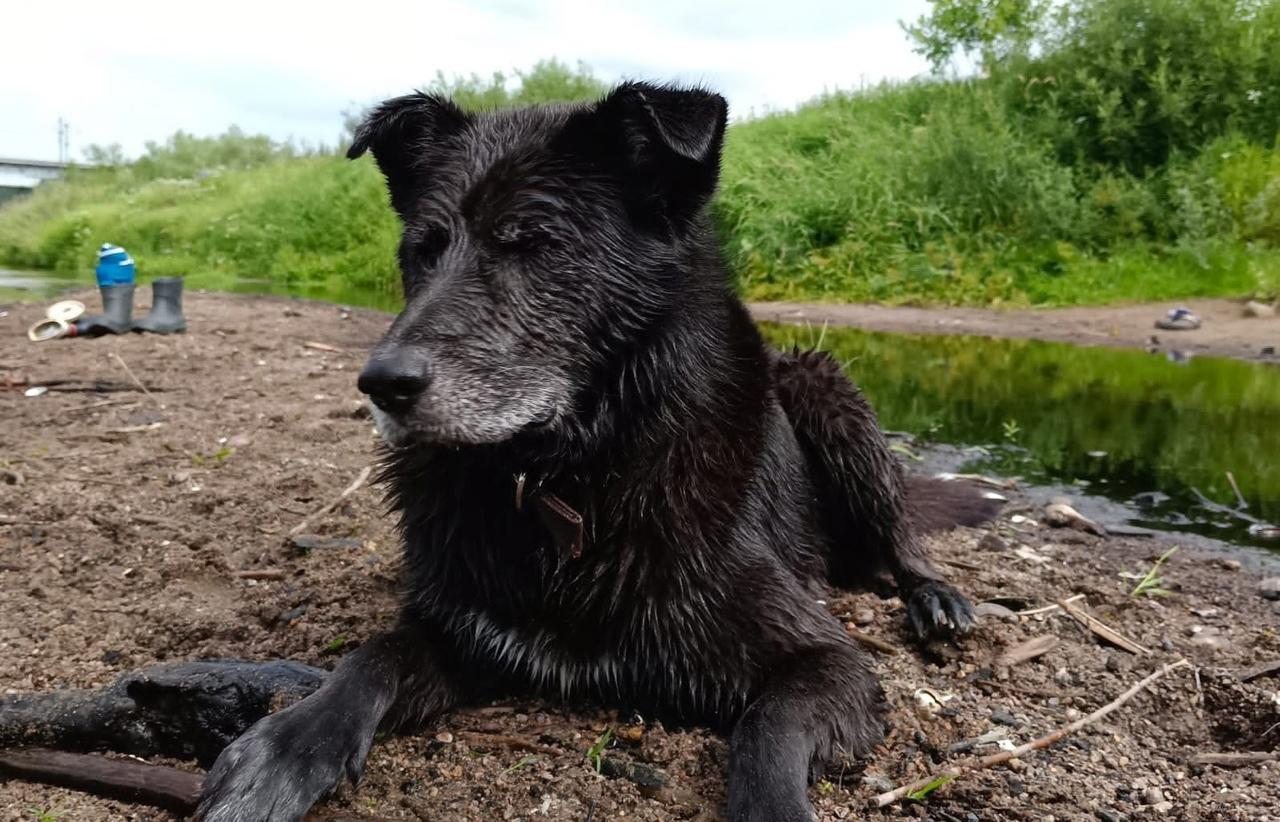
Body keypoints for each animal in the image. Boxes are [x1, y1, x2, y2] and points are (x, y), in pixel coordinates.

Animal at [197, 83, 988, 819]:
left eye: (534, 243)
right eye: (423, 250)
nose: (381, 384)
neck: (565, 476)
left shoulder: (826, 661)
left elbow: (769, 729)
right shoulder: (460, 633)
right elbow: (373, 656)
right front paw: (287, 746)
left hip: (823, 386)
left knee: (898, 533)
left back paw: (934, 596)